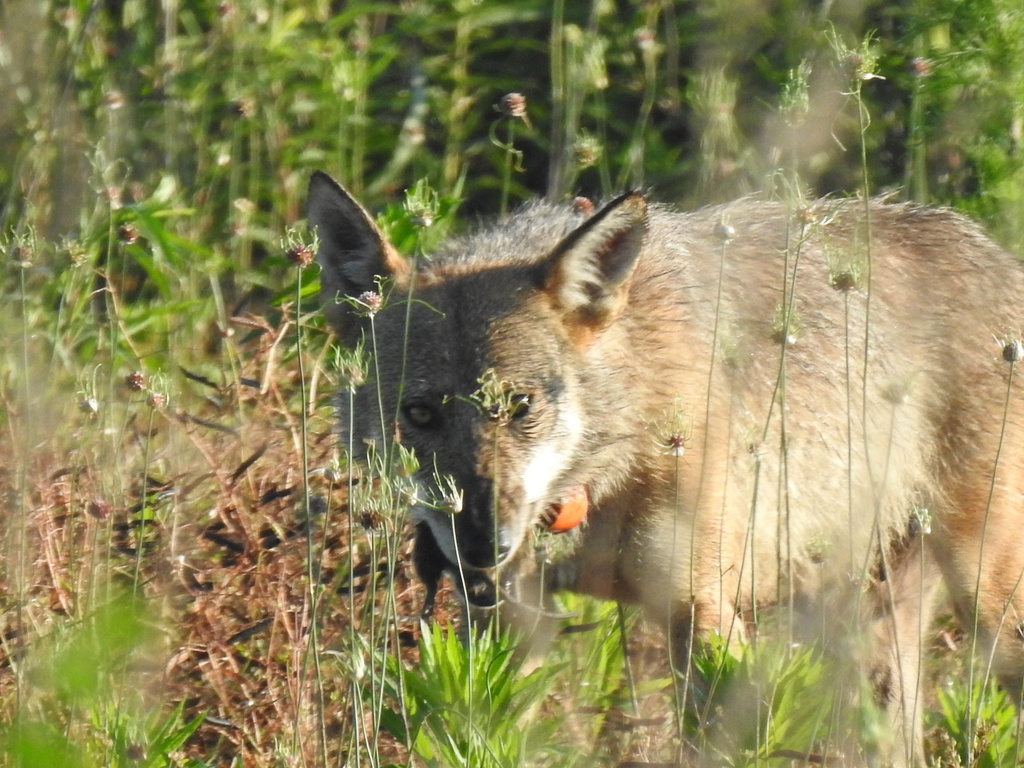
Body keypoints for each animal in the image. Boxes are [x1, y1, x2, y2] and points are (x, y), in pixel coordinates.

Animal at [308, 170, 1024, 762]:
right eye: (419, 414)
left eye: (518, 406)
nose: (482, 544)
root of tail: (995, 251)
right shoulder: (508, 622)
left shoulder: (700, 614)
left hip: (983, 607)